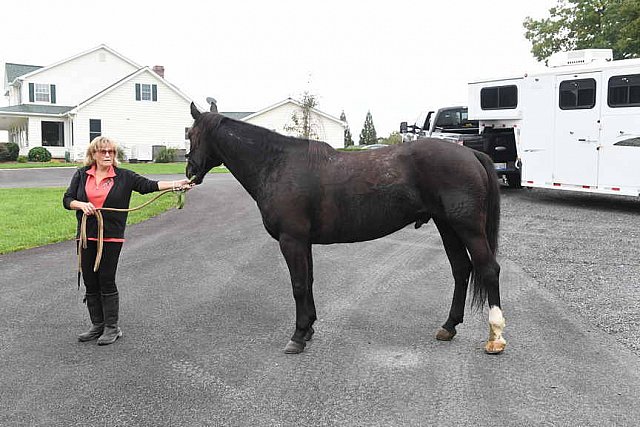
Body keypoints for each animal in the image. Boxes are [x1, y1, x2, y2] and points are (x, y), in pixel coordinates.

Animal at [185, 102, 504, 356]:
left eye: (190, 134)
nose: (190, 172)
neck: (278, 165)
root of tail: (471, 156)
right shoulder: (303, 242)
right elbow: (308, 282)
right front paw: (308, 329)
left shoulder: (292, 240)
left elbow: (298, 285)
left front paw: (297, 336)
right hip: (446, 225)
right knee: (461, 269)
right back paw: (448, 326)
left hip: (467, 227)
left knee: (488, 269)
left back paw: (496, 339)